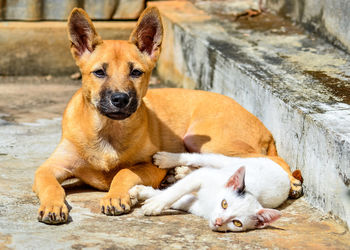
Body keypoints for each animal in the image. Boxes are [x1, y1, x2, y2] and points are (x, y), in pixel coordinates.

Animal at [130, 151, 292, 231]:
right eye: (224, 204)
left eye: (237, 223)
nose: (219, 222)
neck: (211, 203)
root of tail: (285, 172)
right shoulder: (202, 177)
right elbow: (176, 190)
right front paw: (154, 203)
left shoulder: (195, 205)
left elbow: (181, 200)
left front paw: (145, 194)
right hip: (228, 162)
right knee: (201, 159)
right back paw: (166, 159)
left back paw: (182, 171)